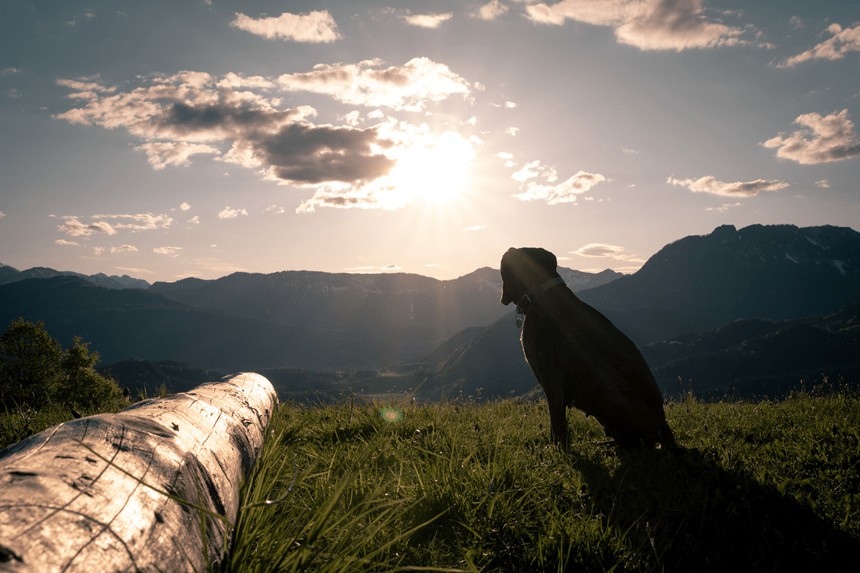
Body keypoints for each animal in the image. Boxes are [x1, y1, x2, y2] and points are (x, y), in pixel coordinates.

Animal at [500, 248, 676, 450]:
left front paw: (556, 450)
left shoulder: (551, 378)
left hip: (611, 396)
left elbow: (556, 422)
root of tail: (663, 425)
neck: (541, 292)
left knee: (634, 446)